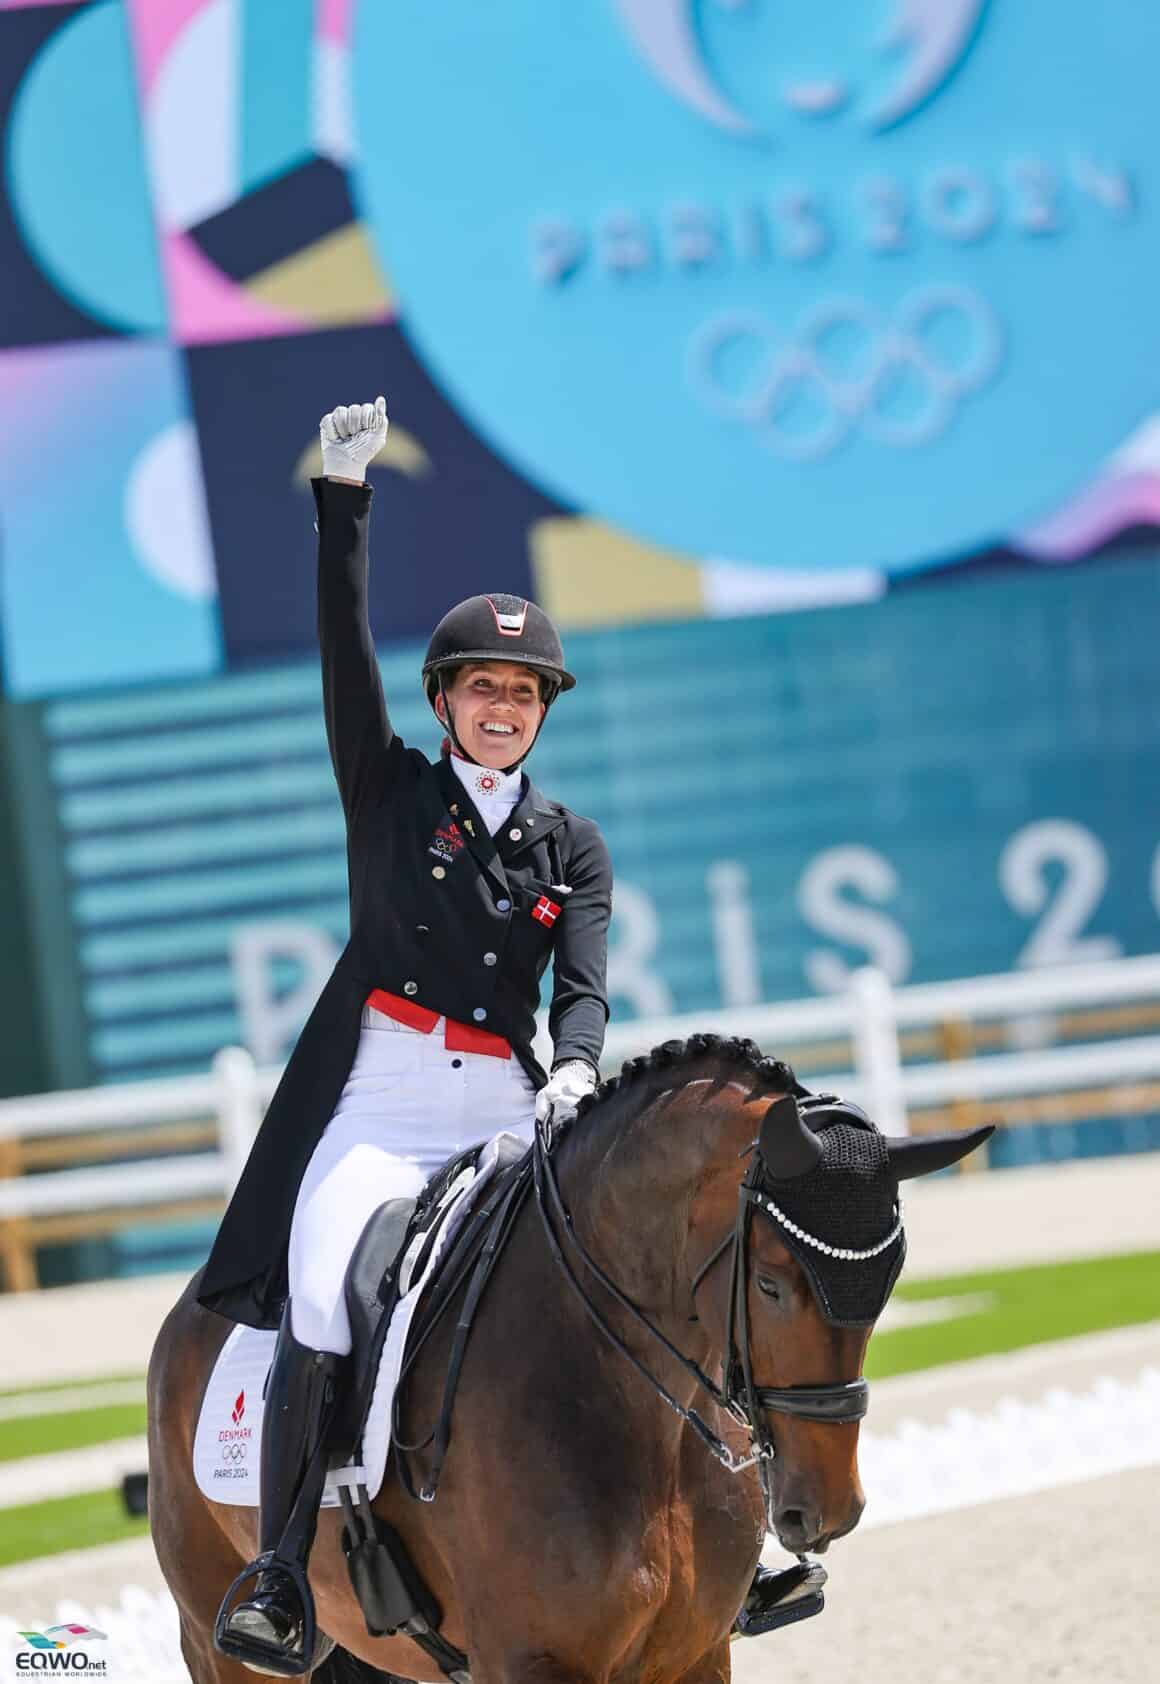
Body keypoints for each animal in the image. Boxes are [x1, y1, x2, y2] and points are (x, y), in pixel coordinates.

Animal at [147, 1030, 983, 1684]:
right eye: (773, 1284)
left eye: (891, 1279)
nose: (828, 1510)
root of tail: (190, 1310)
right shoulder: (530, 1661)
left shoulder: (694, 1654)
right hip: (217, 1645)